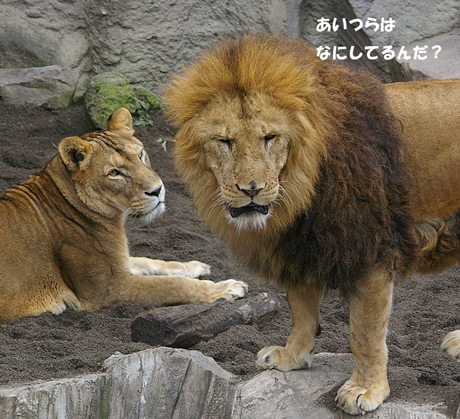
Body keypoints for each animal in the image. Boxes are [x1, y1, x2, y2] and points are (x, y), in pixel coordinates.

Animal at [0, 106, 248, 324]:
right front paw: (225, 288)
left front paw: (193, 267)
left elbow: (151, 261)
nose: (157, 190)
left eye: (140, 154)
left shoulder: (119, 261)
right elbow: (174, 285)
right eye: (114, 173)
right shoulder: (108, 289)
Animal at [165, 34, 460, 416]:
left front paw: (366, 389)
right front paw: (292, 355)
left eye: (269, 138)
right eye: (225, 142)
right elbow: (301, 309)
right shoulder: (298, 246)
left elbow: (364, 332)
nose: (251, 189)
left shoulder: (368, 249)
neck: (299, 193)